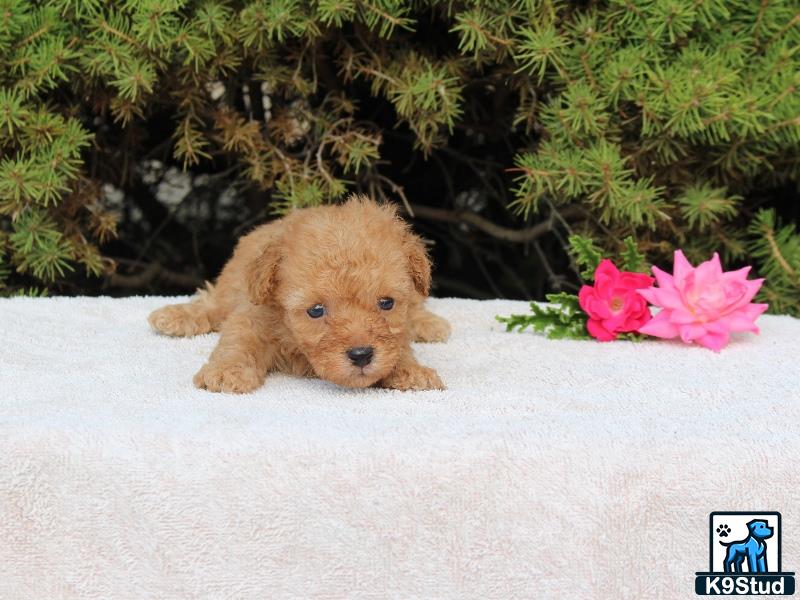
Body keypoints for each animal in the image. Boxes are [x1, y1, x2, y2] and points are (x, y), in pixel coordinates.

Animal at [148, 196, 450, 394]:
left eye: (386, 303)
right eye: (316, 310)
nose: (361, 355)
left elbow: (400, 345)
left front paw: (411, 370)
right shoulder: (252, 319)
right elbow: (238, 343)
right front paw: (227, 372)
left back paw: (428, 323)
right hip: (232, 285)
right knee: (213, 302)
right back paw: (175, 316)